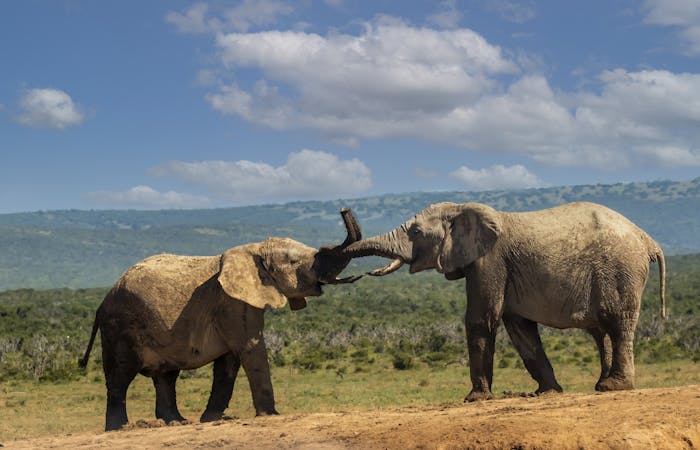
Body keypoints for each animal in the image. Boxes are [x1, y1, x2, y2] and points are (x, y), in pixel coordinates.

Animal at [80, 209, 360, 430]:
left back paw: (177, 422)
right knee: (121, 375)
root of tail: (103, 301)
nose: (344, 210)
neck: (254, 249)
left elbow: (229, 361)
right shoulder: (231, 303)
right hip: (120, 327)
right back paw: (119, 428)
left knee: (166, 376)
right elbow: (250, 348)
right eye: (294, 262)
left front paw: (212, 419)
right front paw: (271, 415)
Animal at [344, 200, 668, 400]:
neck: (462, 209)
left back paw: (615, 388)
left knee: (618, 325)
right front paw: (547, 393)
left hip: (620, 270)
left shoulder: (490, 261)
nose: (344, 211)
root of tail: (647, 239)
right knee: (601, 332)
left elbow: (481, 318)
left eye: (416, 232)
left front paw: (475, 399)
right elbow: (520, 328)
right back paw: (602, 385)